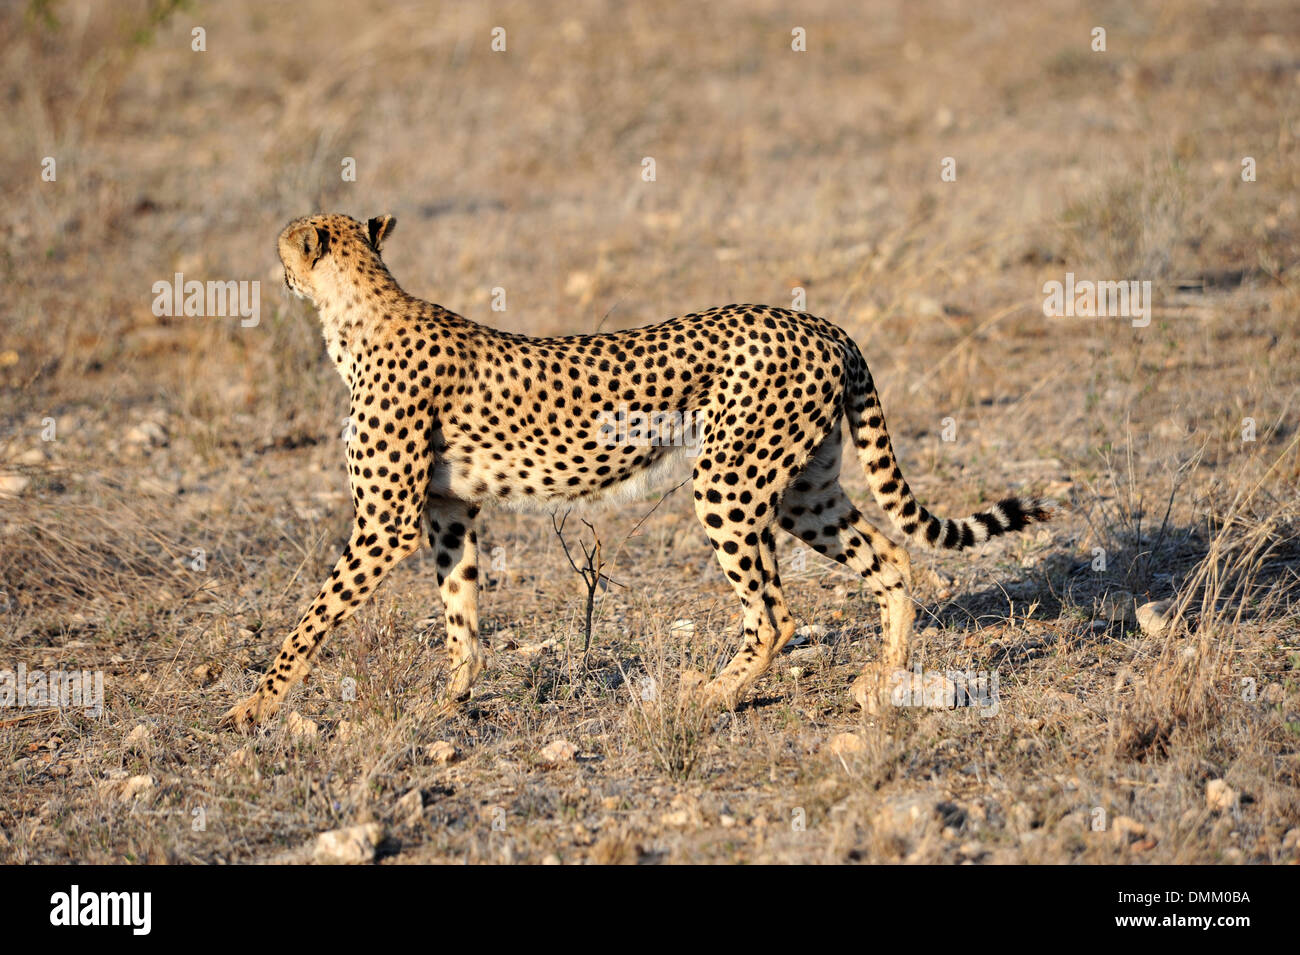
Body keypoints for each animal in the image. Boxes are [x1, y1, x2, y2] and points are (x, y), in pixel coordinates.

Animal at [218, 210, 1050, 732]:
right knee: (890, 555)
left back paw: (711, 694)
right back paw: (886, 678)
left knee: (775, 613)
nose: (272, 255)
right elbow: (461, 613)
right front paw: (451, 700)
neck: (361, 310)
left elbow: (311, 620)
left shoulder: (385, 523)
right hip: (803, 487)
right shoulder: (449, 511)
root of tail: (820, 322)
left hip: (727, 481)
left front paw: (252, 708)